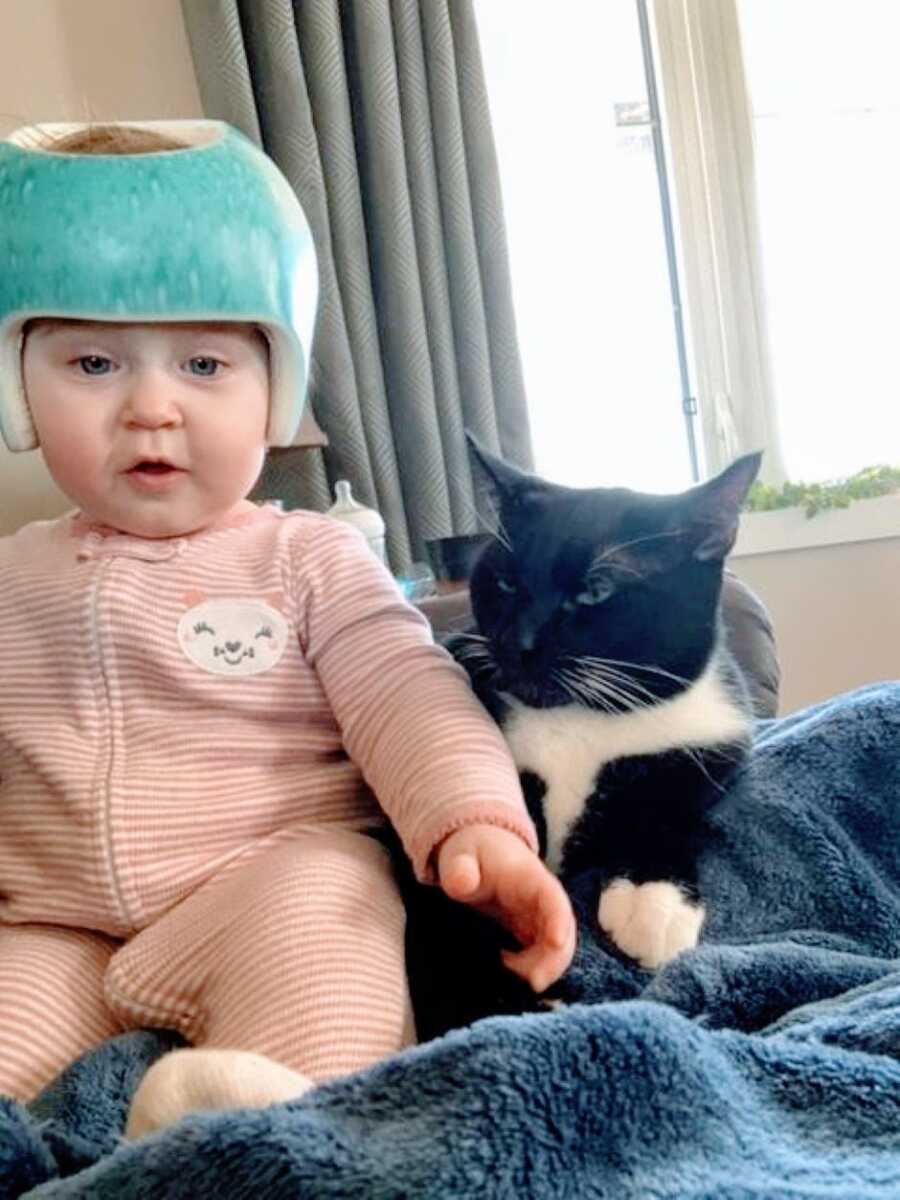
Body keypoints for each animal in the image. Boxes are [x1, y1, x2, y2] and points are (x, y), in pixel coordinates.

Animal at [448, 441, 763, 974]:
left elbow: (667, 807)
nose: (517, 642)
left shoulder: (711, 744)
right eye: (506, 582)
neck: (582, 719)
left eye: (595, 590)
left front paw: (654, 900)